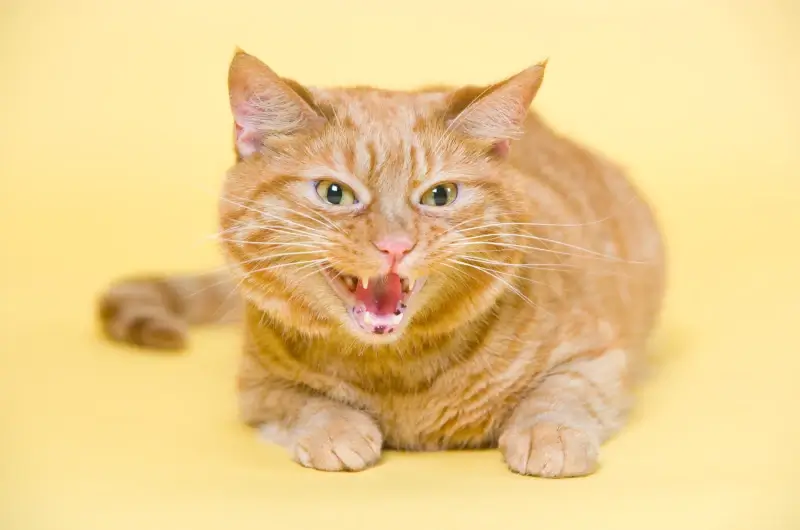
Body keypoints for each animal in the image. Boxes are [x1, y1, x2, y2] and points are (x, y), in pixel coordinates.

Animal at [98, 49, 664, 476]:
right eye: (335, 193)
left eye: (439, 195)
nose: (395, 245)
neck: (398, 372)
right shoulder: (257, 384)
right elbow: (301, 400)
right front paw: (336, 428)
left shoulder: (600, 353)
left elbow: (562, 391)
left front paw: (550, 435)